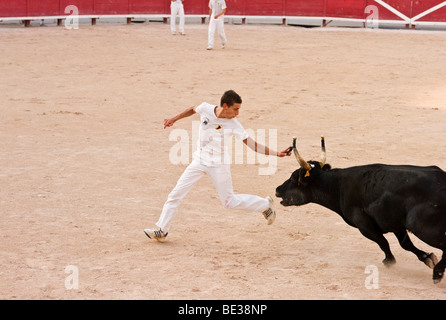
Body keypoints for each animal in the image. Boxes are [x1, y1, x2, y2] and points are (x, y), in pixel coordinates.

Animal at [276, 136, 446, 284]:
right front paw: (428, 258)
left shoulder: (364, 225)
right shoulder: (395, 224)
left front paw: (389, 261)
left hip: (422, 227)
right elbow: (406, 245)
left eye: (293, 178)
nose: (277, 189)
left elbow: (383, 242)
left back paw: (437, 273)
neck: (337, 185)